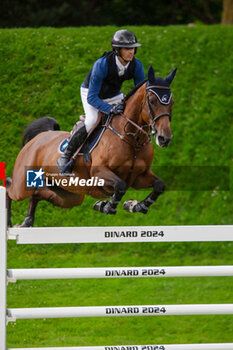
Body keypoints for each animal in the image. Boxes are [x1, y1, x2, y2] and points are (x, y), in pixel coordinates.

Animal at [5, 65, 177, 227]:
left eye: (172, 102)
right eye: (152, 101)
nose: (164, 138)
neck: (132, 140)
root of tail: (40, 137)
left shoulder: (138, 177)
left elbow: (159, 185)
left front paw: (136, 206)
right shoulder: (98, 173)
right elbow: (120, 186)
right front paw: (107, 206)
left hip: (69, 195)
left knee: (37, 194)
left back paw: (27, 222)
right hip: (23, 185)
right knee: (9, 187)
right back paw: (9, 222)